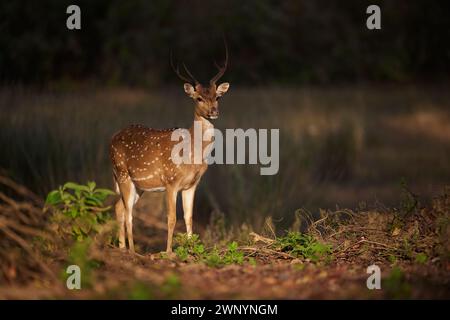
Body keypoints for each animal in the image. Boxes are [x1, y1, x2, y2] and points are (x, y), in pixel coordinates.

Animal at [108, 48, 229, 252]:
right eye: (199, 98)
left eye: (217, 97)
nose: (214, 111)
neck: (193, 155)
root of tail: (112, 139)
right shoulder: (170, 180)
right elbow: (172, 218)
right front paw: (169, 251)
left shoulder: (192, 185)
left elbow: (189, 218)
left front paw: (190, 250)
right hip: (122, 173)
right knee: (129, 213)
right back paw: (132, 250)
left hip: (138, 185)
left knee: (119, 208)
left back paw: (123, 247)